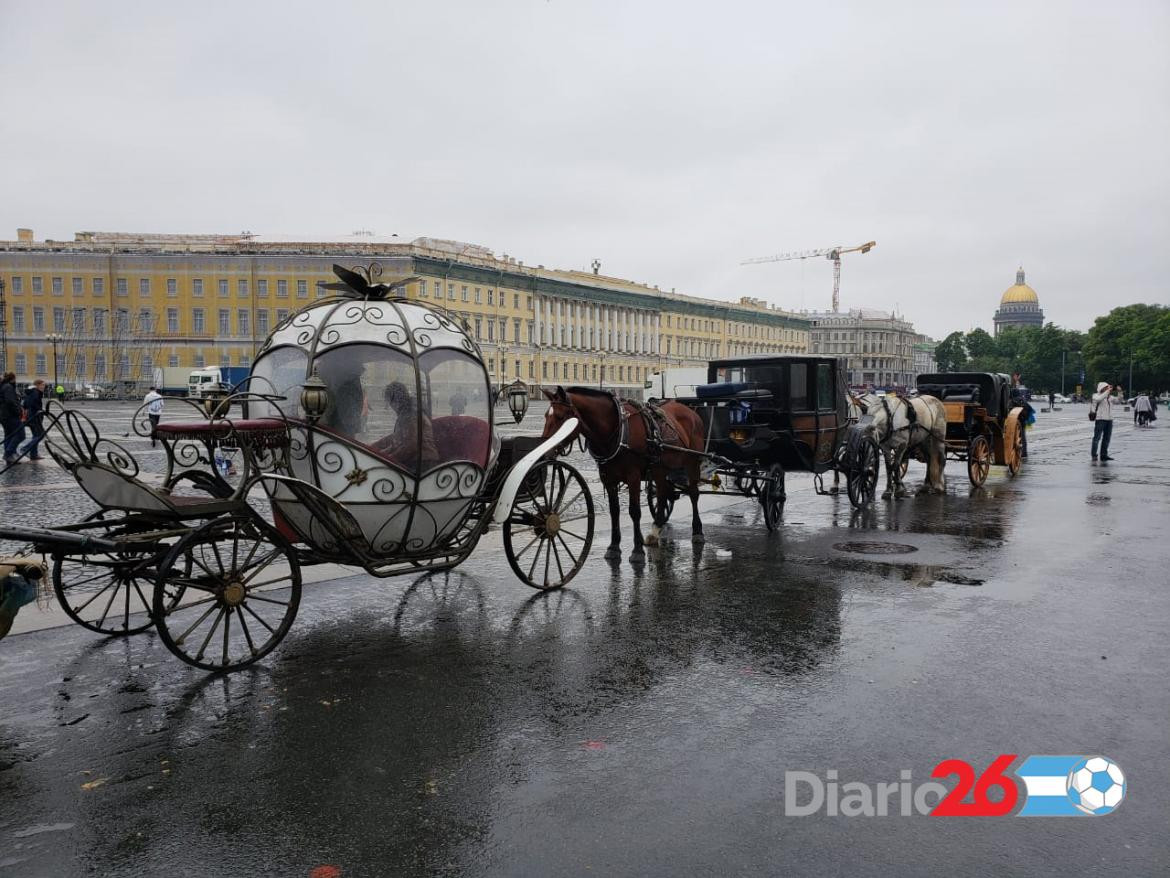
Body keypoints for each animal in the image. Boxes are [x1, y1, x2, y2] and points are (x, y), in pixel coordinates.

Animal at [542, 386, 706, 564]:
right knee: (663, 495)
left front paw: (637, 550)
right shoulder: (608, 478)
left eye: (560, 417)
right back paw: (656, 531)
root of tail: (691, 411)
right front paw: (614, 547)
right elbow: (614, 511)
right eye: (546, 416)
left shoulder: (633, 476)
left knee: (693, 494)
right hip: (661, 468)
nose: (544, 452)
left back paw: (697, 531)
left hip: (692, 464)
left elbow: (634, 511)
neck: (617, 429)